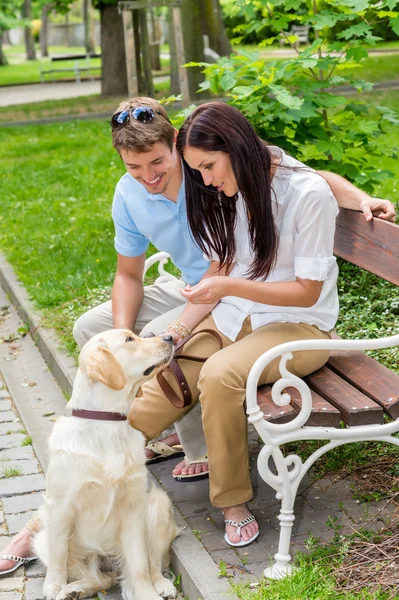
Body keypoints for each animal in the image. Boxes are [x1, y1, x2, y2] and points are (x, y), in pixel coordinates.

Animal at [32, 330, 180, 600]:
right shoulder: (60, 506)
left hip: (158, 506)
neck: (107, 423)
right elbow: (59, 556)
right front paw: (54, 586)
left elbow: (139, 563)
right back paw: (73, 590)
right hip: (42, 538)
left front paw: (146, 593)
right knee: (99, 578)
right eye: (129, 339)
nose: (169, 337)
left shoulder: (133, 507)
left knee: (152, 564)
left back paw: (161, 585)